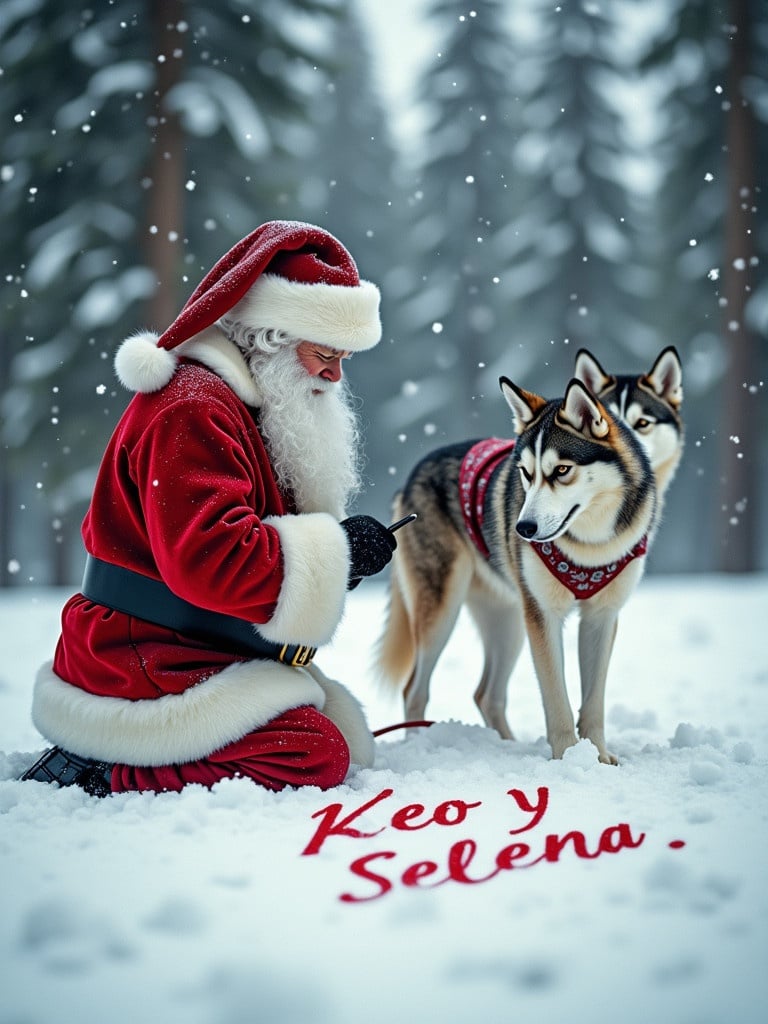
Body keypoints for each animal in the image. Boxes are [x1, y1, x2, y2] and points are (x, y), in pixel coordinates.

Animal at [376, 374, 663, 761]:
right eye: (526, 474)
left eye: (562, 470)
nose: (522, 529)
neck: (589, 547)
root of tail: (410, 477)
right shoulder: (542, 615)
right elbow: (556, 698)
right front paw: (566, 757)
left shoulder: (601, 617)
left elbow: (593, 702)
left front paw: (598, 756)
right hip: (444, 610)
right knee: (414, 689)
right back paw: (418, 745)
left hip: (510, 618)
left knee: (486, 694)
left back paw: (507, 745)